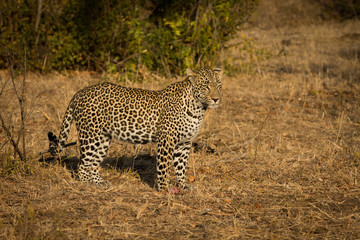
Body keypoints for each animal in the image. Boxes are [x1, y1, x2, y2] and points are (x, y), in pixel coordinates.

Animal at [47, 66, 222, 190]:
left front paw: (183, 185)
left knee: (92, 164)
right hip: (91, 136)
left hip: (102, 139)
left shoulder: (184, 142)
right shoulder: (167, 140)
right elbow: (164, 166)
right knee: (82, 165)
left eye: (218, 85)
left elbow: (181, 166)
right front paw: (164, 189)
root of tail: (79, 92)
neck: (198, 108)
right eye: (206, 86)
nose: (216, 99)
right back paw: (87, 184)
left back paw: (100, 182)